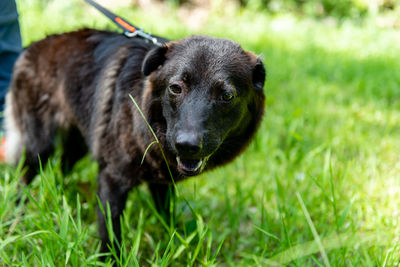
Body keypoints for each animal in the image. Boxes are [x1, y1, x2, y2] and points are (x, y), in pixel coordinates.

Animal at [3, 28, 266, 255]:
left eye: (227, 96)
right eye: (175, 88)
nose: (187, 145)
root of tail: (31, 47)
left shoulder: (161, 182)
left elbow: (167, 217)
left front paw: (177, 242)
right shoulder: (112, 179)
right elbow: (110, 234)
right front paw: (110, 259)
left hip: (80, 140)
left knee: (63, 165)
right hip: (38, 147)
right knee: (22, 181)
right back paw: (16, 219)